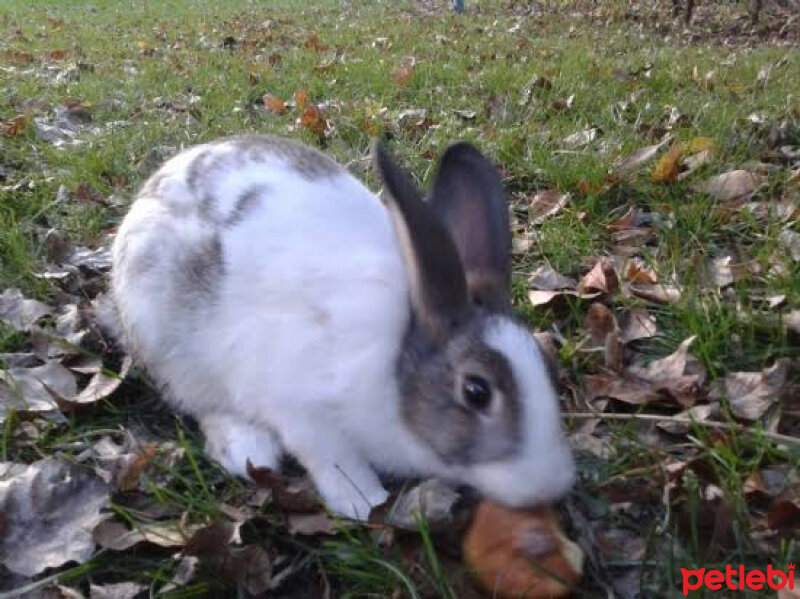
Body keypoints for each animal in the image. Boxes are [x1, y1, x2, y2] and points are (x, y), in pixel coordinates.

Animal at [111, 136, 576, 520]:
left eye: (548, 365)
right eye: (477, 391)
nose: (549, 487)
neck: (397, 360)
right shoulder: (302, 407)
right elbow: (331, 457)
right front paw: (363, 500)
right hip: (168, 341)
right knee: (200, 403)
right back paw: (248, 448)